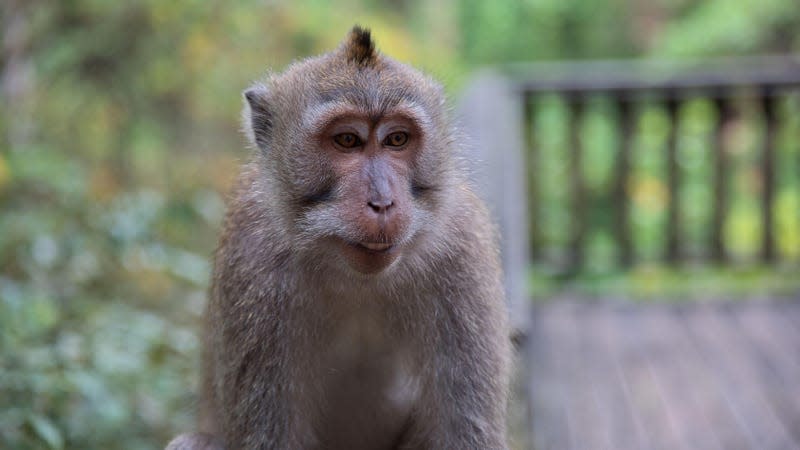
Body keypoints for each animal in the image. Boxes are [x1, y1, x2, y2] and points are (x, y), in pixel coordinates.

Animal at [166, 26, 510, 448]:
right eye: (347, 140)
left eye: (397, 139)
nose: (382, 202)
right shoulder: (252, 262)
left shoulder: (464, 254)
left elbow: (463, 434)